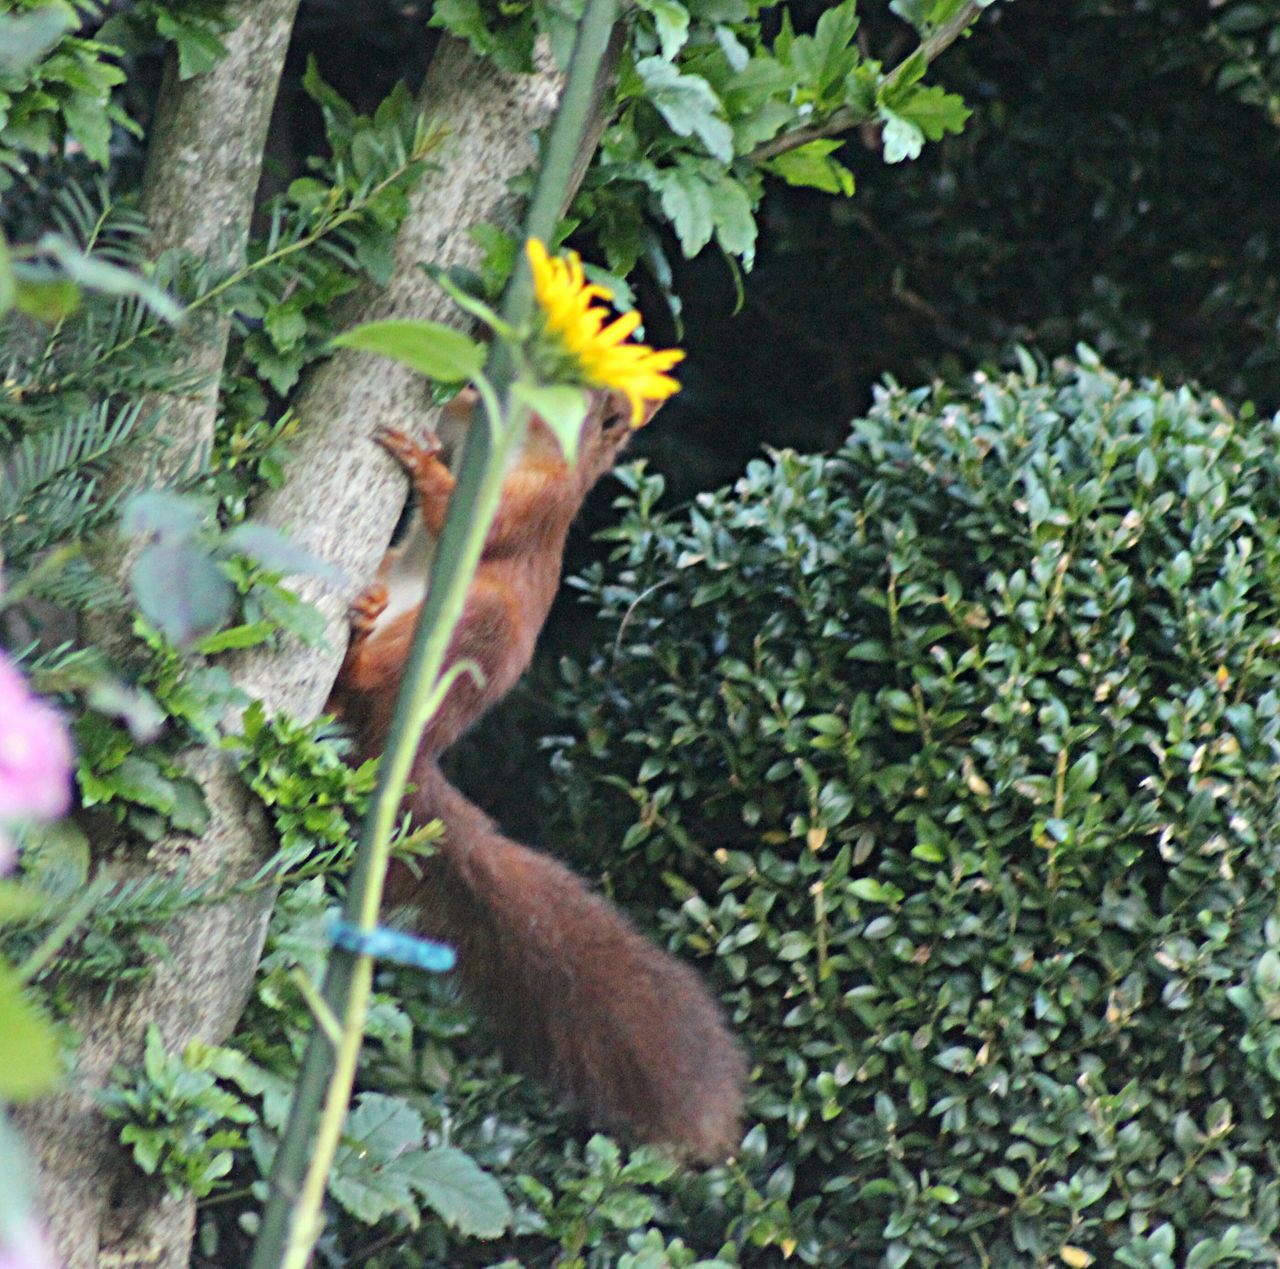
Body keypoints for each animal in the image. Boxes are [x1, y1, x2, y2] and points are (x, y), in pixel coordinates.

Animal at [330, 391, 747, 1167]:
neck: (515, 437)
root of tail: (411, 752)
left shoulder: (538, 506)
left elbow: (483, 519)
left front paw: (423, 462)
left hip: (476, 630)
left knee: (381, 685)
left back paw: (362, 655)